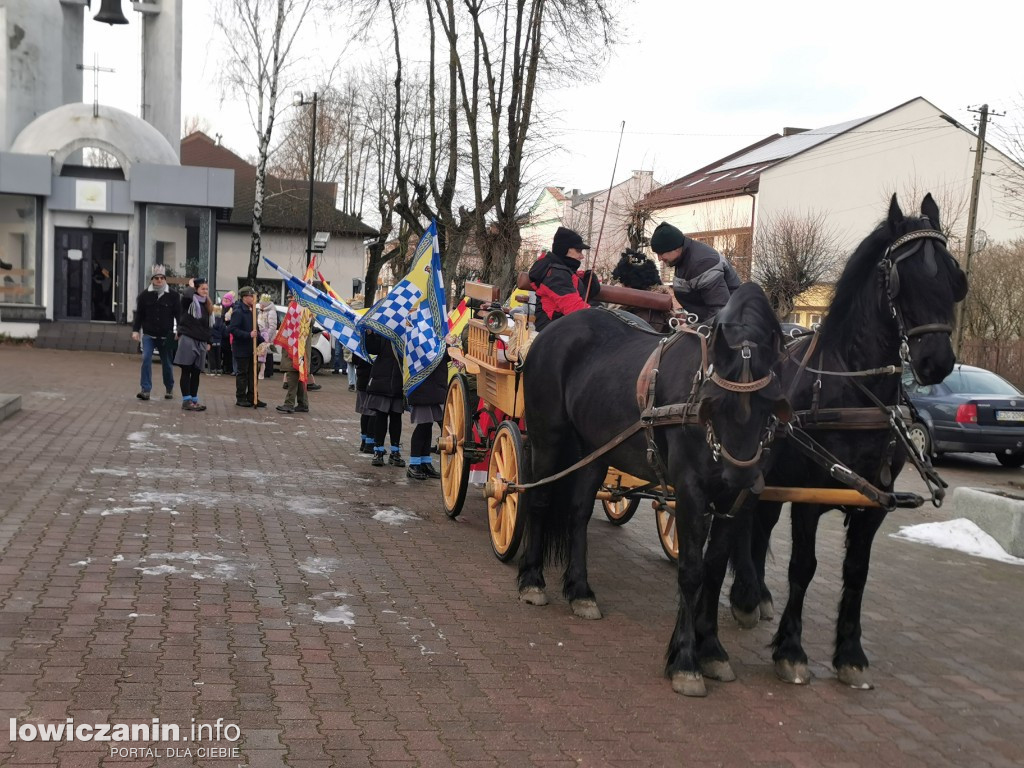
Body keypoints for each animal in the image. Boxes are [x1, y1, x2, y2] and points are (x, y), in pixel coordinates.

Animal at [516, 282, 786, 696]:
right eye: (713, 402)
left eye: (770, 401)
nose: (738, 475)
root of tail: (552, 331)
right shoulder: (691, 491)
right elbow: (691, 571)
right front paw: (686, 660)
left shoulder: (734, 503)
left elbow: (714, 570)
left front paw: (712, 649)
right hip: (549, 438)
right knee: (539, 500)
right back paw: (532, 580)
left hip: (594, 450)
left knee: (578, 513)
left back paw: (580, 591)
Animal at [729, 195, 966, 688]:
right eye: (900, 279)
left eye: (954, 276)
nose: (936, 363)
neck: (856, 390)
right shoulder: (809, 496)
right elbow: (803, 568)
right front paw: (791, 650)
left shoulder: (875, 501)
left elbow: (857, 572)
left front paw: (851, 655)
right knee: (746, 523)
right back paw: (744, 595)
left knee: (760, 525)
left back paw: (757, 595)